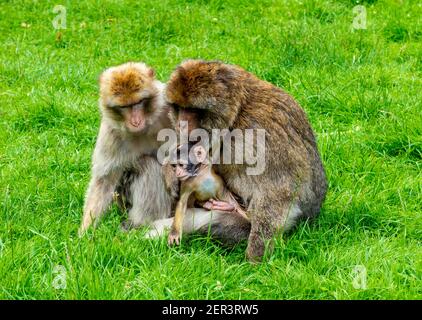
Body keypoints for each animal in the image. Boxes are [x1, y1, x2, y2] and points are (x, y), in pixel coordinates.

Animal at [79, 61, 173, 234]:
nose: (136, 121)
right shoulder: (110, 132)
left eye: (138, 102)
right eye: (124, 107)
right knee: (146, 164)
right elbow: (104, 180)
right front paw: (86, 232)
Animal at [166, 60, 328, 262]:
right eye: (179, 108)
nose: (181, 125)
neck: (234, 117)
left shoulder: (257, 135)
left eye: (194, 110)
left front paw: (255, 256)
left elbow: (277, 190)